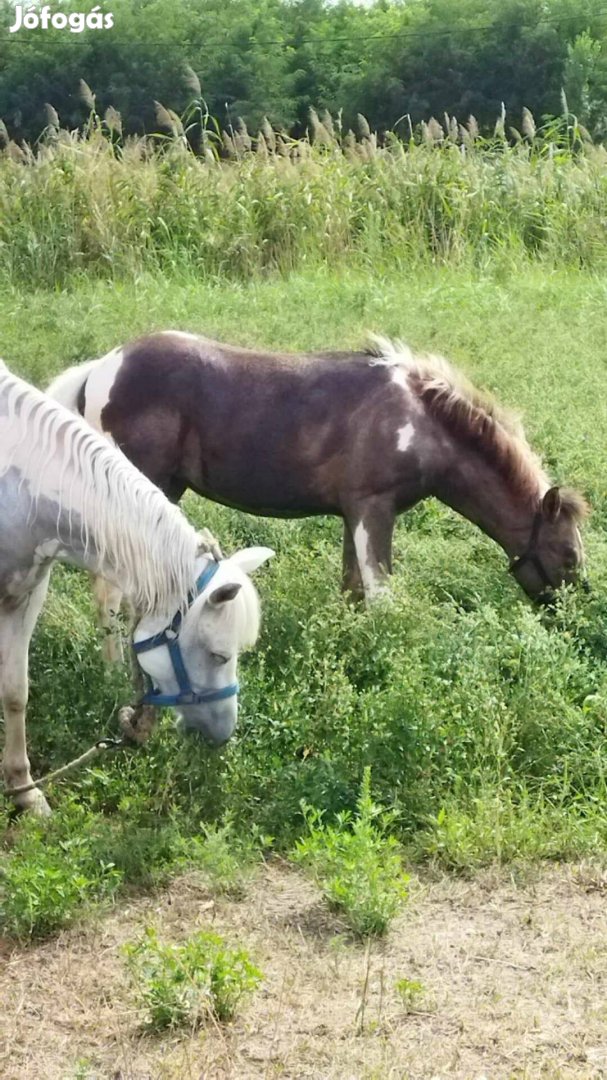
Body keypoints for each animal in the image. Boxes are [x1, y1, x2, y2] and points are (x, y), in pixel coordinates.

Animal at [0, 360, 272, 812]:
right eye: (219, 655)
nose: (223, 735)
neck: (19, 488)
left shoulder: (26, 594)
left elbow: (16, 691)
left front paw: (25, 791)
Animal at [47, 328, 587, 648]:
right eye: (569, 557)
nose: (571, 624)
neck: (419, 421)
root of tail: (101, 367)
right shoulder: (374, 508)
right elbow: (381, 593)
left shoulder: (353, 514)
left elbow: (352, 590)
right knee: (110, 589)